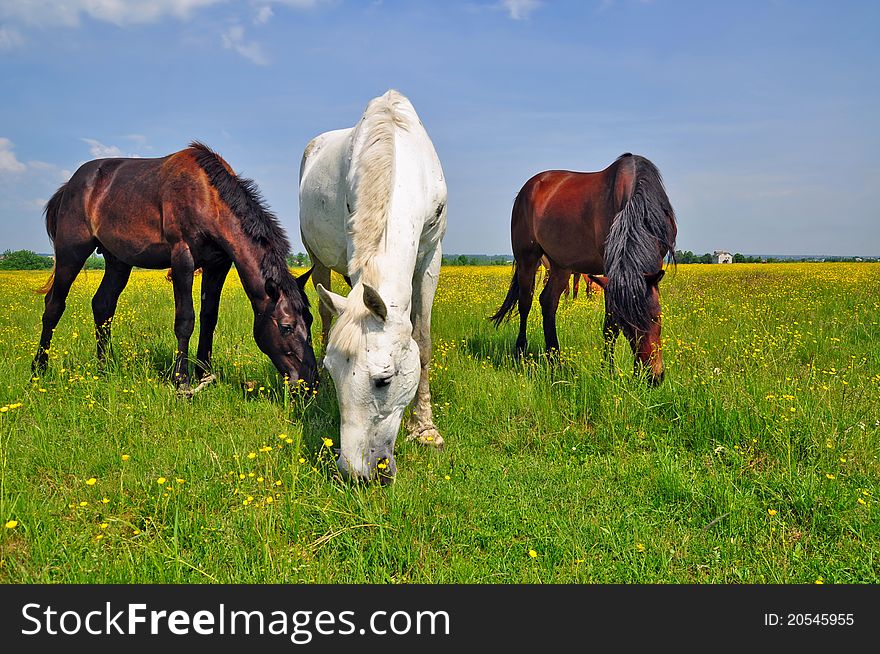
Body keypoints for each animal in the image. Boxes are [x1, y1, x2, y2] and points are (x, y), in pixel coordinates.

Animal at [32, 142, 318, 392]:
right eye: (286, 326)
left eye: (310, 320)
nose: (310, 383)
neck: (207, 196)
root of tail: (70, 185)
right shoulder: (182, 258)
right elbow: (185, 320)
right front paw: (182, 380)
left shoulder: (218, 265)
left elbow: (209, 317)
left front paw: (204, 372)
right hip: (71, 251)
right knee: (54, 305)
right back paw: (39, 369)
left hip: (118, 261)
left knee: (102, 306)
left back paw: (105, 367)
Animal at [300, 89, 446, 484]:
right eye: (334, 372)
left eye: (384, 380)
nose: (355, 473)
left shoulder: (432, 255)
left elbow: (423, 342)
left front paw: (425, 430)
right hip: (316, 260)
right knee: (324, 315)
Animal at [492, 154, 676, 386]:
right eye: (626, 325)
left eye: (656, 317)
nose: (652, 377)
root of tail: (527, 188)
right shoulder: (609, 270)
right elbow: (609, 327)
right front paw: (608, 371)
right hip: (528, 259)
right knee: (525, 303)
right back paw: (521, 355)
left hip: (560, 265)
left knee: (548, 301)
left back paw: (556, 360)